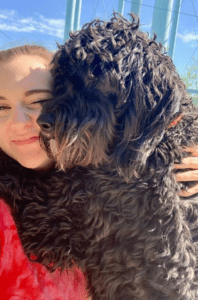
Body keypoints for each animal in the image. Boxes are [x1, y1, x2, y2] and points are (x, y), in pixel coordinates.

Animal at [0, 13, 198, 300]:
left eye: (96, 79)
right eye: (62, 79)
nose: (43, 122)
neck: (158, 144)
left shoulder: (55, 222)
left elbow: (17, 176)